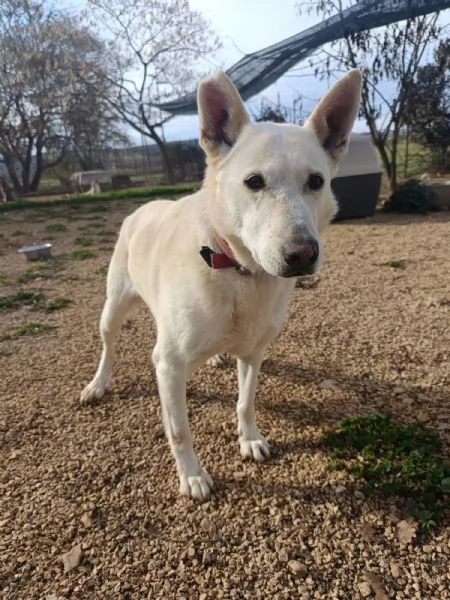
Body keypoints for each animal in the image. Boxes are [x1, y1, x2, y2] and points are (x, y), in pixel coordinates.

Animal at [81, 69, 362, 502]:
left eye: (316, 181)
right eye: (254, 181)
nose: (302, 254)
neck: (237, 270)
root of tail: (143, 207)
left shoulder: (254, 352)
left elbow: (246, 401)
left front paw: (250, 440)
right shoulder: (168, 364)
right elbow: (179, 431)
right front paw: (192, 477)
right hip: (113, 308)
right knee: (108, 346)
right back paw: (98, 383)